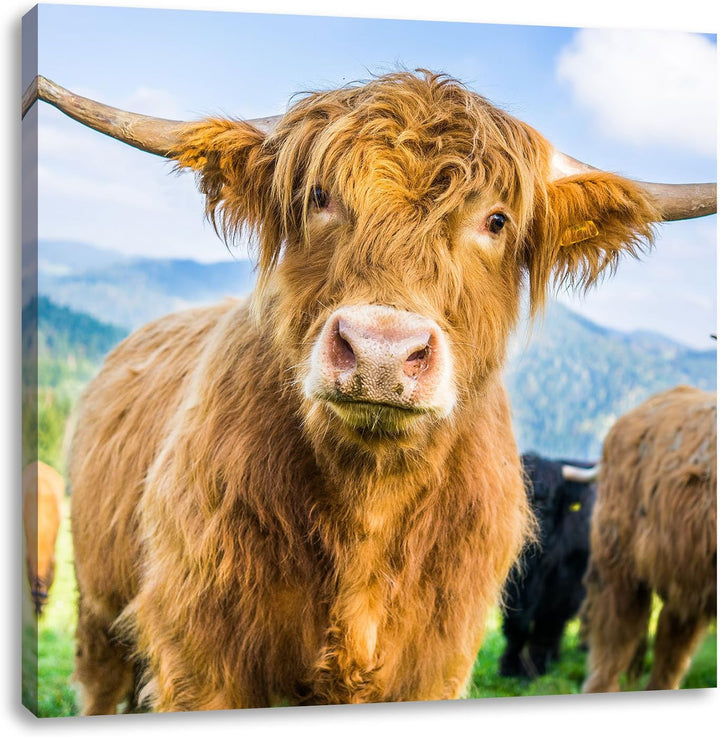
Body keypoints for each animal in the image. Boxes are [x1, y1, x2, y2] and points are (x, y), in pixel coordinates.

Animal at [499, 453, 597, 679]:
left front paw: (534, 669)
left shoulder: (563, 587)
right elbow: (516, 625)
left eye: (549, 502)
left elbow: (546, 626)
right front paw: (508, 667)